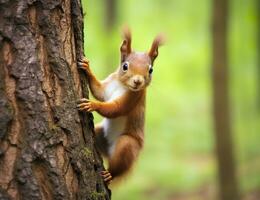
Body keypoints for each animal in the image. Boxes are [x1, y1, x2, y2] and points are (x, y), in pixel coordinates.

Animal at [77, 27, 162, 184]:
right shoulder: (108, 86)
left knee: (119, 165)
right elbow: (99, 91)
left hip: (128, 145)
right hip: (100, 134)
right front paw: (87, 69)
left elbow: (115, 109)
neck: (121, 85)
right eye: (125, 66)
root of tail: (110, 153)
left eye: (150, 70)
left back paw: (109, 174)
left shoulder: (133, 97)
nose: (137, 81)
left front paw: (92, 104)